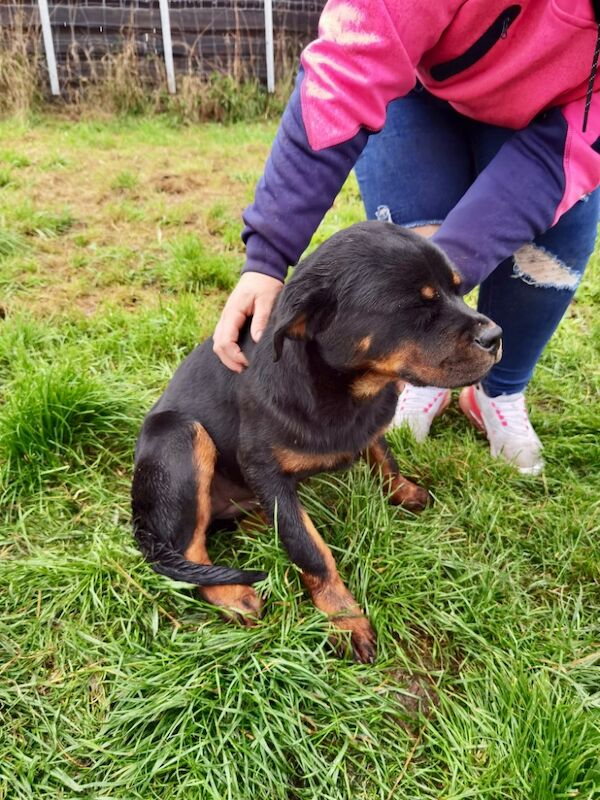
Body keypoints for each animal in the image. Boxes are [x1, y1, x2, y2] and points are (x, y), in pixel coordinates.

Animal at [132, 220, 502, 664]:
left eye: (459, 289)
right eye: (415, 307)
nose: (496, 336)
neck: (346, 389)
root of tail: (143, 522)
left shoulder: (370, 423)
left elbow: (383, 454)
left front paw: (404, 491)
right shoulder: (263, 468)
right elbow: (311, 548)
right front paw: (345, 619)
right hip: (181, 434)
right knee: (188, 550)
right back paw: (232, 594)